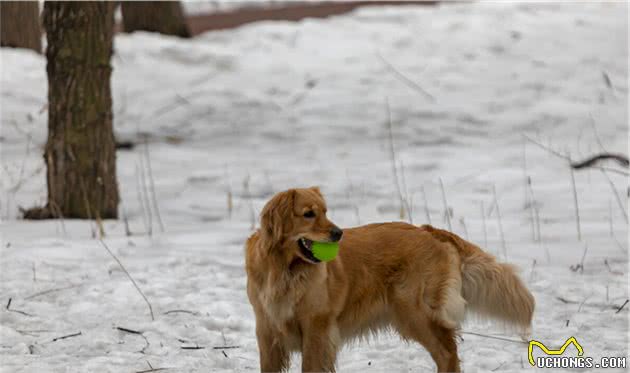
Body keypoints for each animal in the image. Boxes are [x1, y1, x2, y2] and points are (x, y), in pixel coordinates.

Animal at [244, 187, 536, 370]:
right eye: (308, 214)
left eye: (325, 211)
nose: (338, 233)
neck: (284, 270)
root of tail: (429, 231)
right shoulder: (266, 331)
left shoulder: (317, 328)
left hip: (414, 312)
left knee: (447, 354)